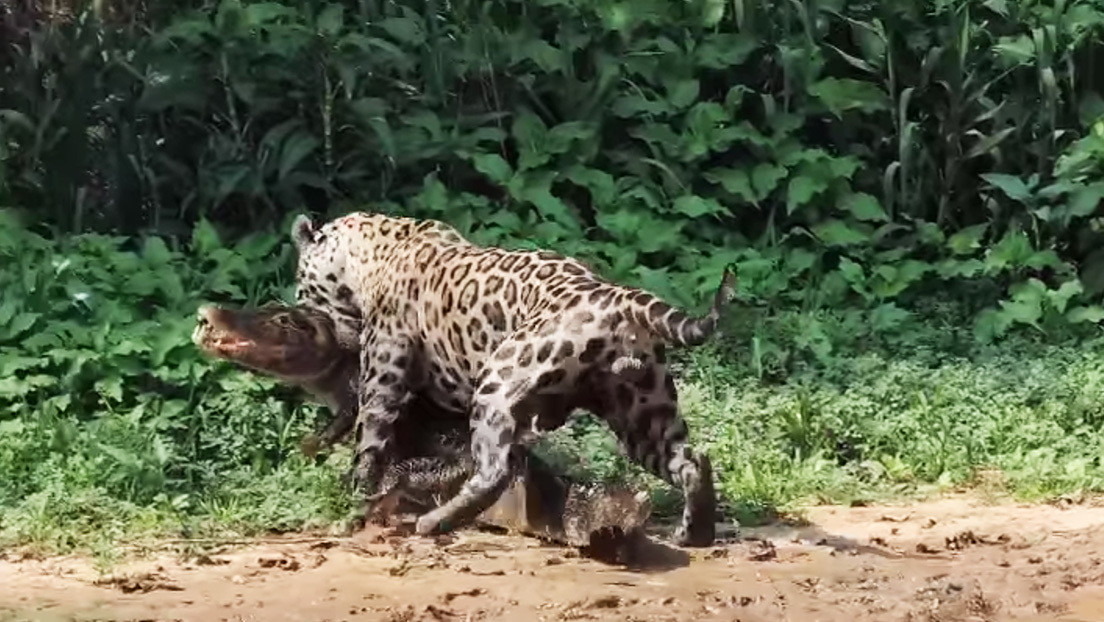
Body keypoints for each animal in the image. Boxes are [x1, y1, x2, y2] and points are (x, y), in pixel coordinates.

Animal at [190, 302, 653, 557]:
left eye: (285, 320)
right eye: (271, 306)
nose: (207, 314)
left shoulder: (369, 399)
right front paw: (312, 447)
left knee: (404, 481)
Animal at [291, 211, 736, 547]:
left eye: (303, 290)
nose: (303, 311)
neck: (376, 249)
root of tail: (610, 294)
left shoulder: (383, 375)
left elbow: (369, 441)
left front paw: (354, 499)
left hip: (498, 382)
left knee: (494, 469)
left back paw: (436, 521)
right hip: (641, 410)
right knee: (691, 460)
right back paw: (695, 533)